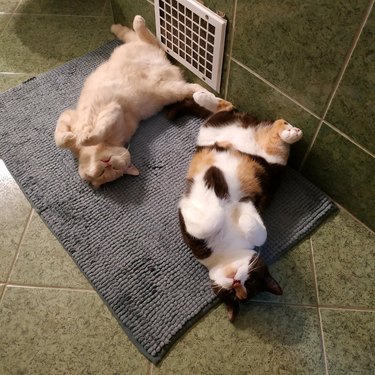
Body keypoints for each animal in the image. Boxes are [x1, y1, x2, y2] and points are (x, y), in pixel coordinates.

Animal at [54, 16, 212, 189]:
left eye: (113, 168)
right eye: (103, 172)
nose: (107, 162)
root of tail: (167, 65)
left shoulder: (113, 111)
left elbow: (83, 135)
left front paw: (82, 137)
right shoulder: (69, 115)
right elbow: (60, 137)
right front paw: (72, 137)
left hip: (166, 87)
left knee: (150, 40)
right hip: (168, 87)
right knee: (151, 42)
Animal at [178, 92, 304, 322]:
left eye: (251, 282)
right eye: (231, 294)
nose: (237, 282)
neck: (227, 251)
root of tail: (252, 127)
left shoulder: (256, 202)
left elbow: (259, 232)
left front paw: (241, 212)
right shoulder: (190, 232)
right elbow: (209, 220)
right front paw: (219, 196)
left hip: (270, 165)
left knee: (273, 138)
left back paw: (290, 132)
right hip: (211, 131)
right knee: (226, 109)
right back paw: (201, 96)